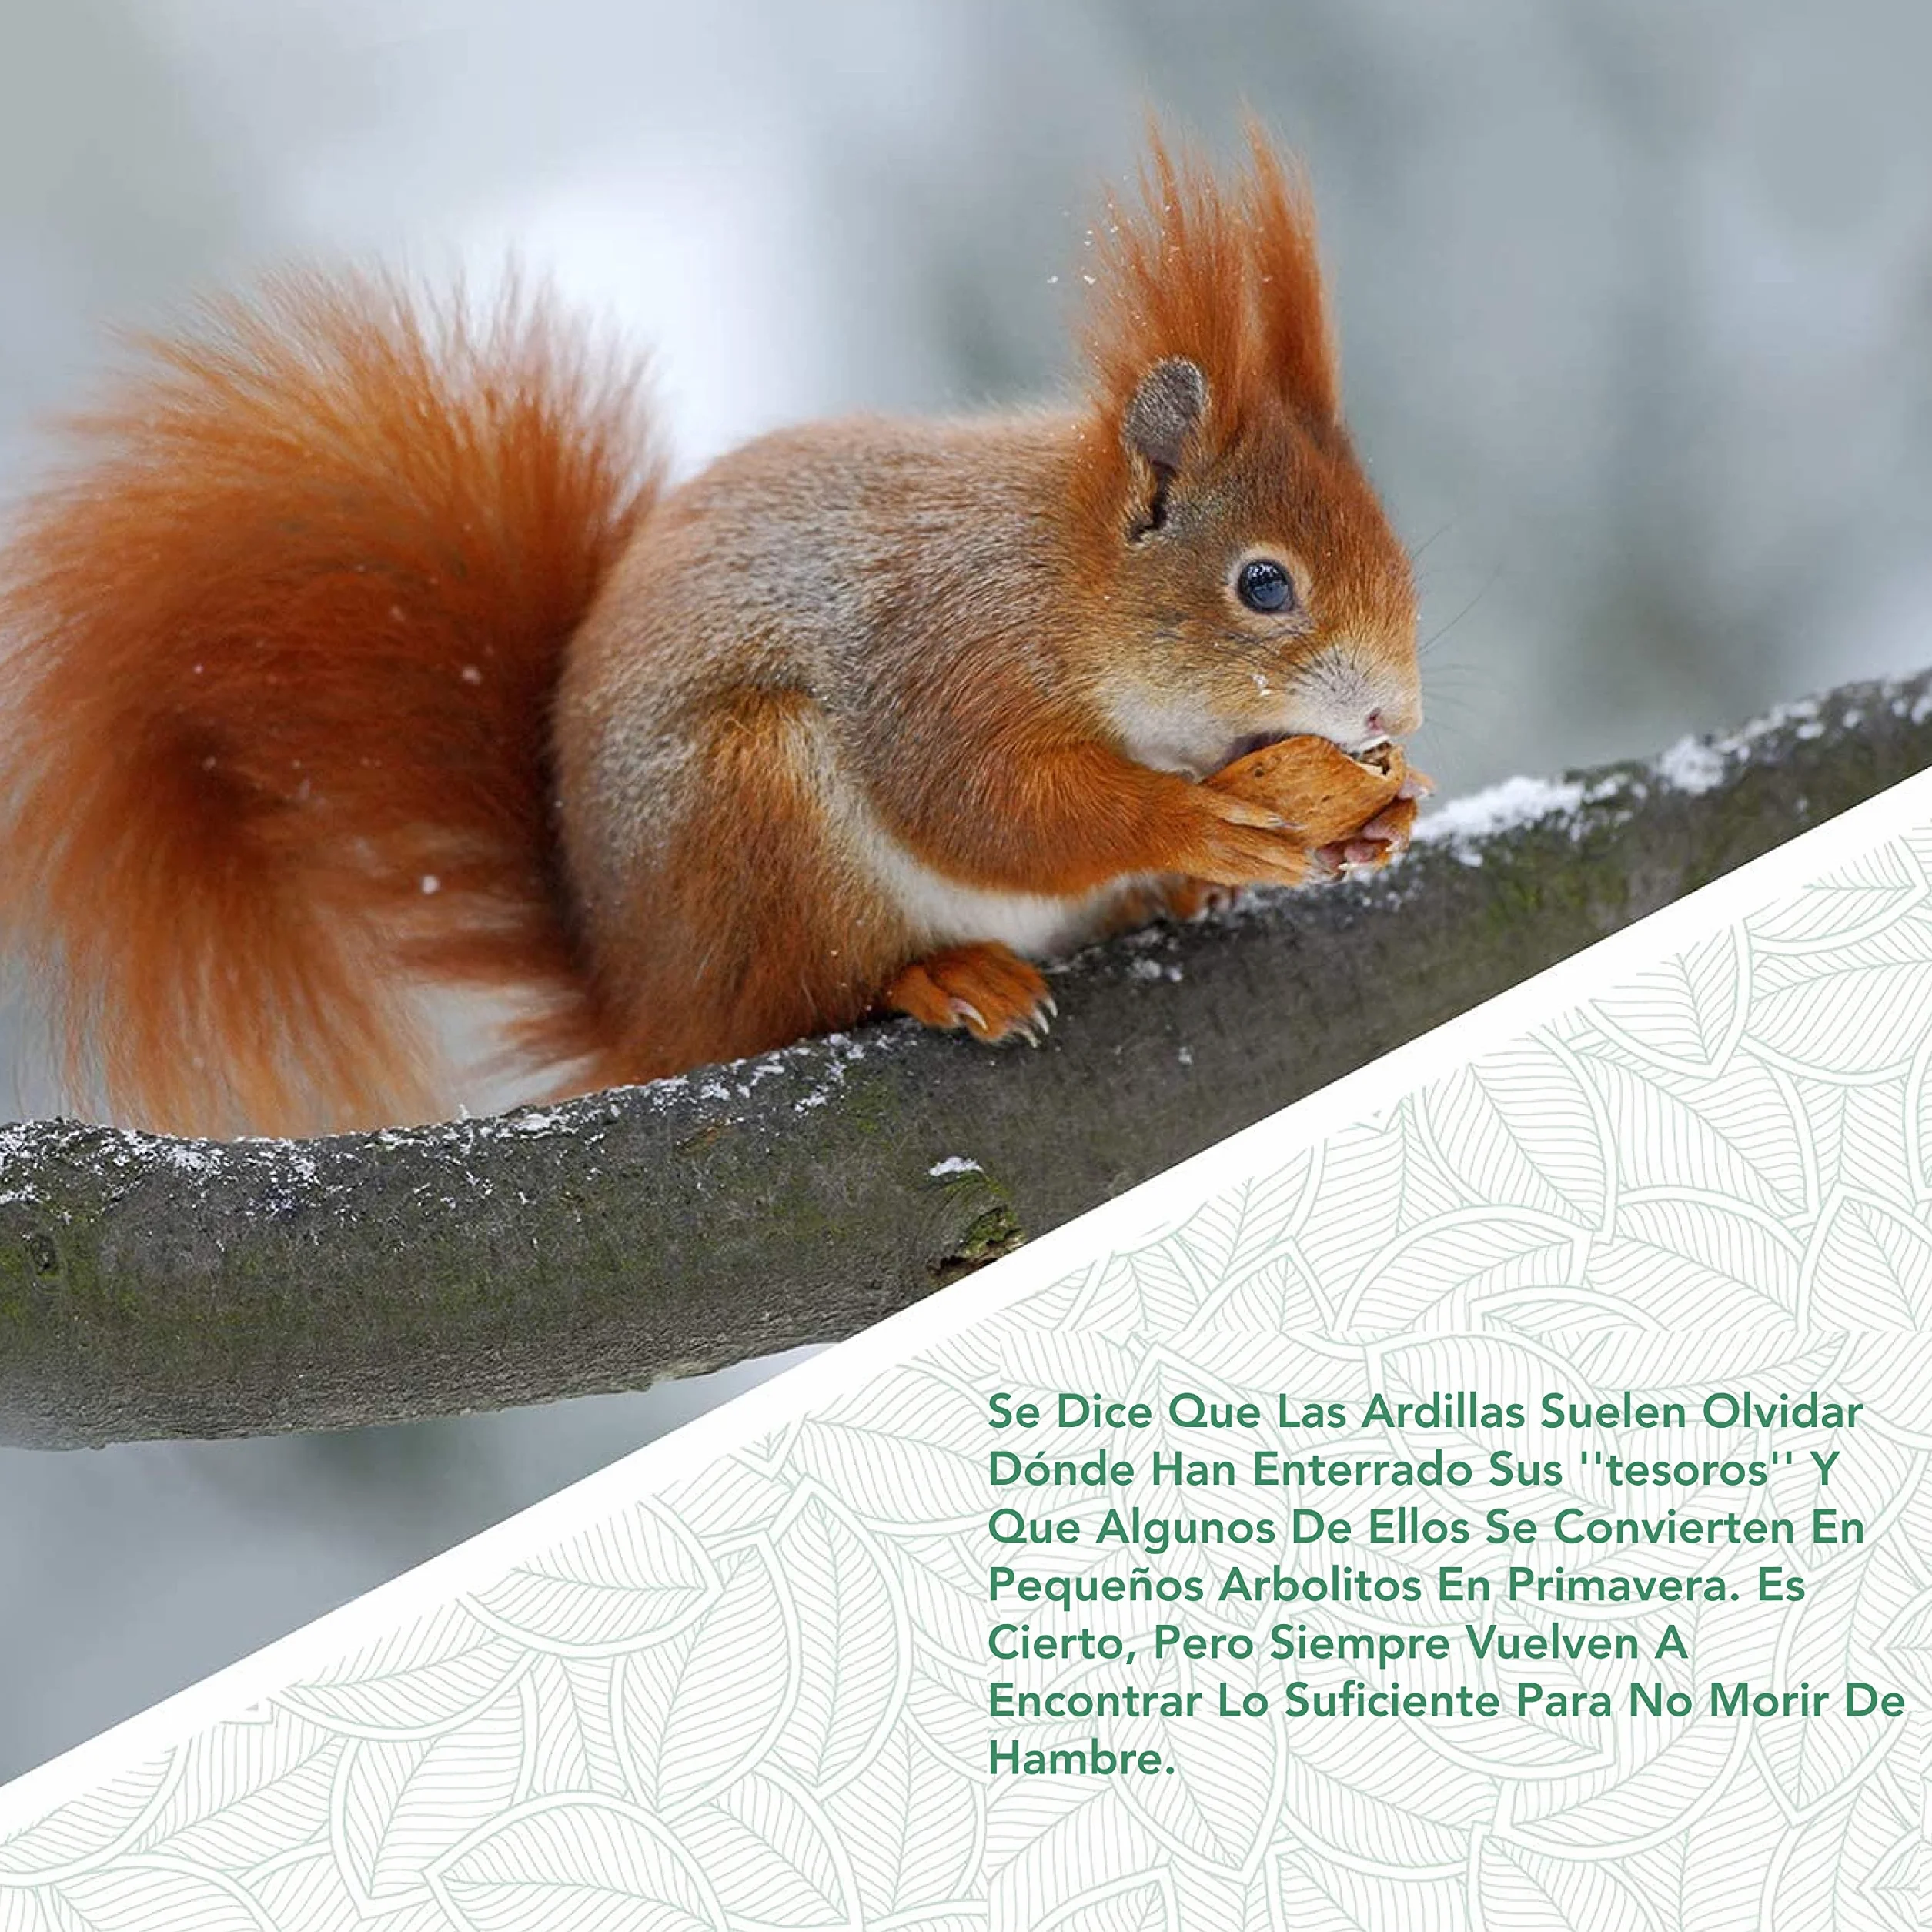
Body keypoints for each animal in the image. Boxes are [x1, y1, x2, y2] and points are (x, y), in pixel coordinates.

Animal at [0, 127, 1423, 1138]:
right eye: (1263, 586)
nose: (1391, 715)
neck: (1064, 579)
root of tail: (648, 1007)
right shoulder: (947, 655)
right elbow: (981, 804)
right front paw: (1195, 826)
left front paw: (1383, 815)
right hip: (759, 812)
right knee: (805, 998)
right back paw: (948, 977)